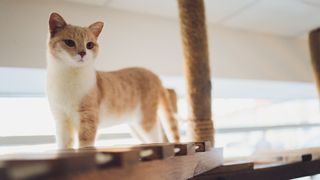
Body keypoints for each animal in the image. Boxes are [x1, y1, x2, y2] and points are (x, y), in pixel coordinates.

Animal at [46, 12, 179, 149]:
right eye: (69, 42)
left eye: (89, 45)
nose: (83, 53)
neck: (69, 76)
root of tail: (154, 75)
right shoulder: (61, 120)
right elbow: (64, 146)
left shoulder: (88, 118)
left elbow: (85, 144)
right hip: (136, 126)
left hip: (146, 120)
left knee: (157, 138)